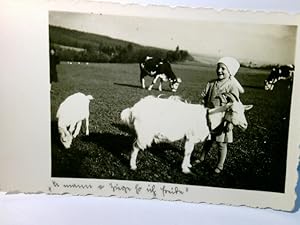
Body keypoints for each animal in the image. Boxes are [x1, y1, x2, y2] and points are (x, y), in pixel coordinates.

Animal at [120, 95, 252, 174]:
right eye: (233, 111)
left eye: (243, 111)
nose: (245, 125)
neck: (207, 118)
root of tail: (133, 110)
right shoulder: (191, 137)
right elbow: (188, 152)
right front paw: (185, 169)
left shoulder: (189, 138)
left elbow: (190, 152)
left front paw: (188, 165)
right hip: (144, 133)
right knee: (135, 147)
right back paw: (133, 166)